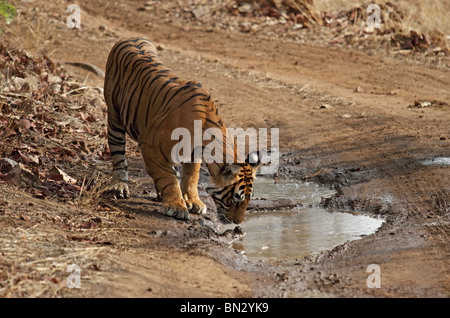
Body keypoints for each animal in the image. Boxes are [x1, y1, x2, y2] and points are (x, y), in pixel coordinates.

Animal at [103, 38, 260, 224]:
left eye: (248, 199)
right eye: (237, 199)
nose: (238, 222)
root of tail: (129, 38)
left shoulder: (193, 153)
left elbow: (191, 177)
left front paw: (193, 201)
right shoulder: (149, 144)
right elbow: (168, 178)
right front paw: (176, 206)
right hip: (115, 117)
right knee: (119, 155)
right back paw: (119, 186)